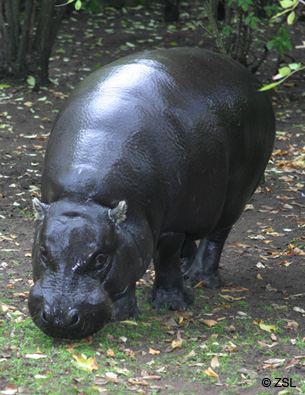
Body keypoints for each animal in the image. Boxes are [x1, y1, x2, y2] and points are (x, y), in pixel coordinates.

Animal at [29, 48, 276, 340]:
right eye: (43, 252)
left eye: (100, 259)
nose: (60, 319)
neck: (84, 199)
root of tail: (247, 75)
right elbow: (131, 264)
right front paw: (124, 315)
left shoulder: (171, 225)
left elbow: (163, 256)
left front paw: (170, 304)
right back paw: (186, 270)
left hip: (236, 193)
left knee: (217, 235)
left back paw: (200, 279)